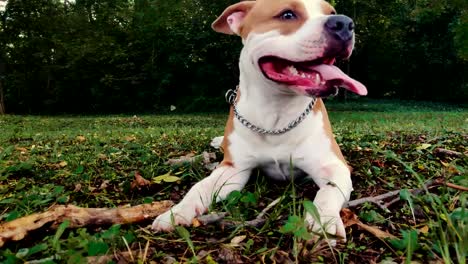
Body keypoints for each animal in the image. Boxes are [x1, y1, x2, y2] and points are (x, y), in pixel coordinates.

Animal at [152, 0, 368, 241]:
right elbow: (200, 187)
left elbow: (329, 190)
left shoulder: (333, 165)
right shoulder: (234, 168)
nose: (344, 23)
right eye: (287, 14)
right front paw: (176, 212)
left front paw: (324, 220)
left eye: (331, 12)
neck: (276, 113)